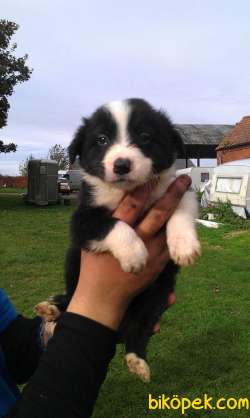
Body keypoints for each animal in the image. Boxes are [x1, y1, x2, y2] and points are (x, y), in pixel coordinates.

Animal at [37, 98, 200, 382]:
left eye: (145, 137)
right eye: (101, 139)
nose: (122, 165)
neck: (126, 192)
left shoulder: (176, 191)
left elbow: (181, 209)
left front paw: (184, 246)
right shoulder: (82, 219)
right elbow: (114, 224)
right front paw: (135, 254)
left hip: (157, 295)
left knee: (139, 328)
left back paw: (137, 359)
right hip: (73, 263)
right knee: (71, 296)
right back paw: (52, 308)